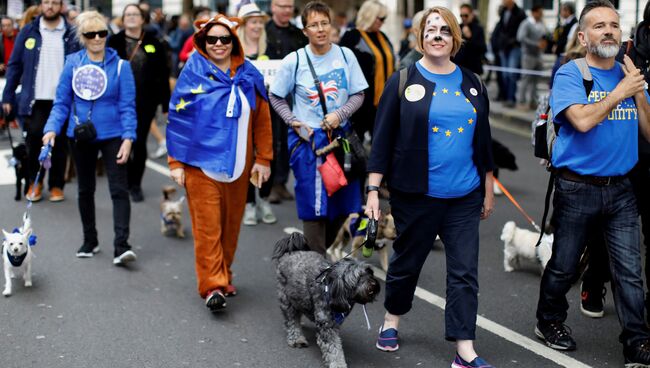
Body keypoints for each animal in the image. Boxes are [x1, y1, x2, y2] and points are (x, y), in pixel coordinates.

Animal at [270, 233, 380, 368]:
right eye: (358, 277)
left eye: (369, 272)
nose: (374, 284)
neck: (331, 288)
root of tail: (291, 251)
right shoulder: (327, 326)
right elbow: (333, 348)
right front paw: (338, 364)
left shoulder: (334, 322)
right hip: (287, 300)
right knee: (291, 321)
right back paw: (296, 338)